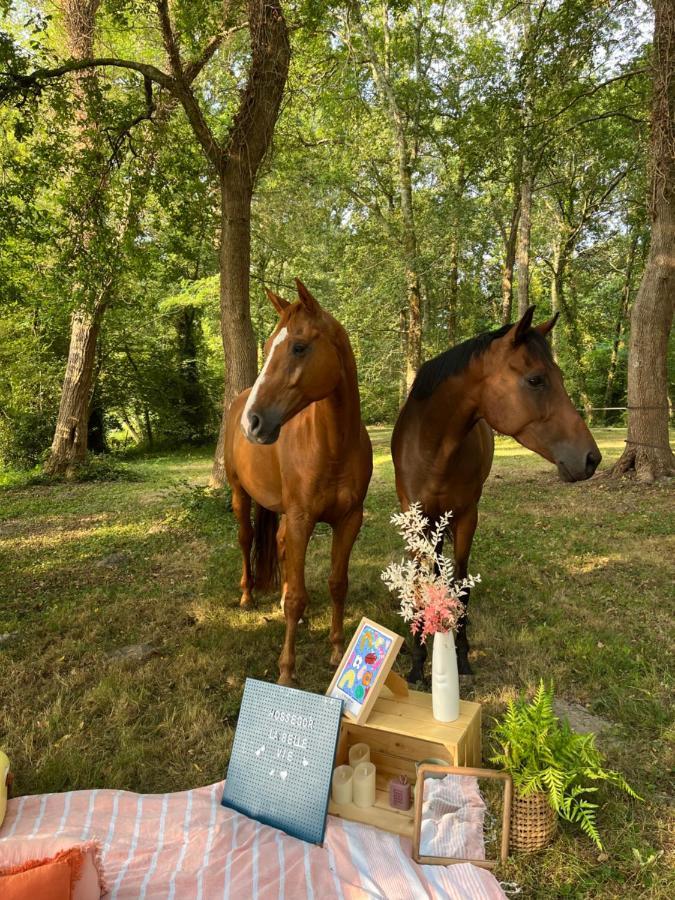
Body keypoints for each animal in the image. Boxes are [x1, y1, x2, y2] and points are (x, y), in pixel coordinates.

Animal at [224, 278, 372, 684]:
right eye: (268, 346)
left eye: (299, 346)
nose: (253, 422)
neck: (333, 445)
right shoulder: (302, 518)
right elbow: (296, 599)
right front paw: (286, 672)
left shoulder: (349, 520)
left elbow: (337, 584)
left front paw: (337, 650)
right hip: (240, 494)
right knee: (246, 539)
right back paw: (248, 596)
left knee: (279, 544)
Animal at [390, 310, 604, 684]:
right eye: (536, 380)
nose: (592, 459)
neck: (432, 446)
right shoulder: (414, 520)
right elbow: (418, 583)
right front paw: (417, 661)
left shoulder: (466, 517)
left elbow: (461, 585)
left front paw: (461, 655)